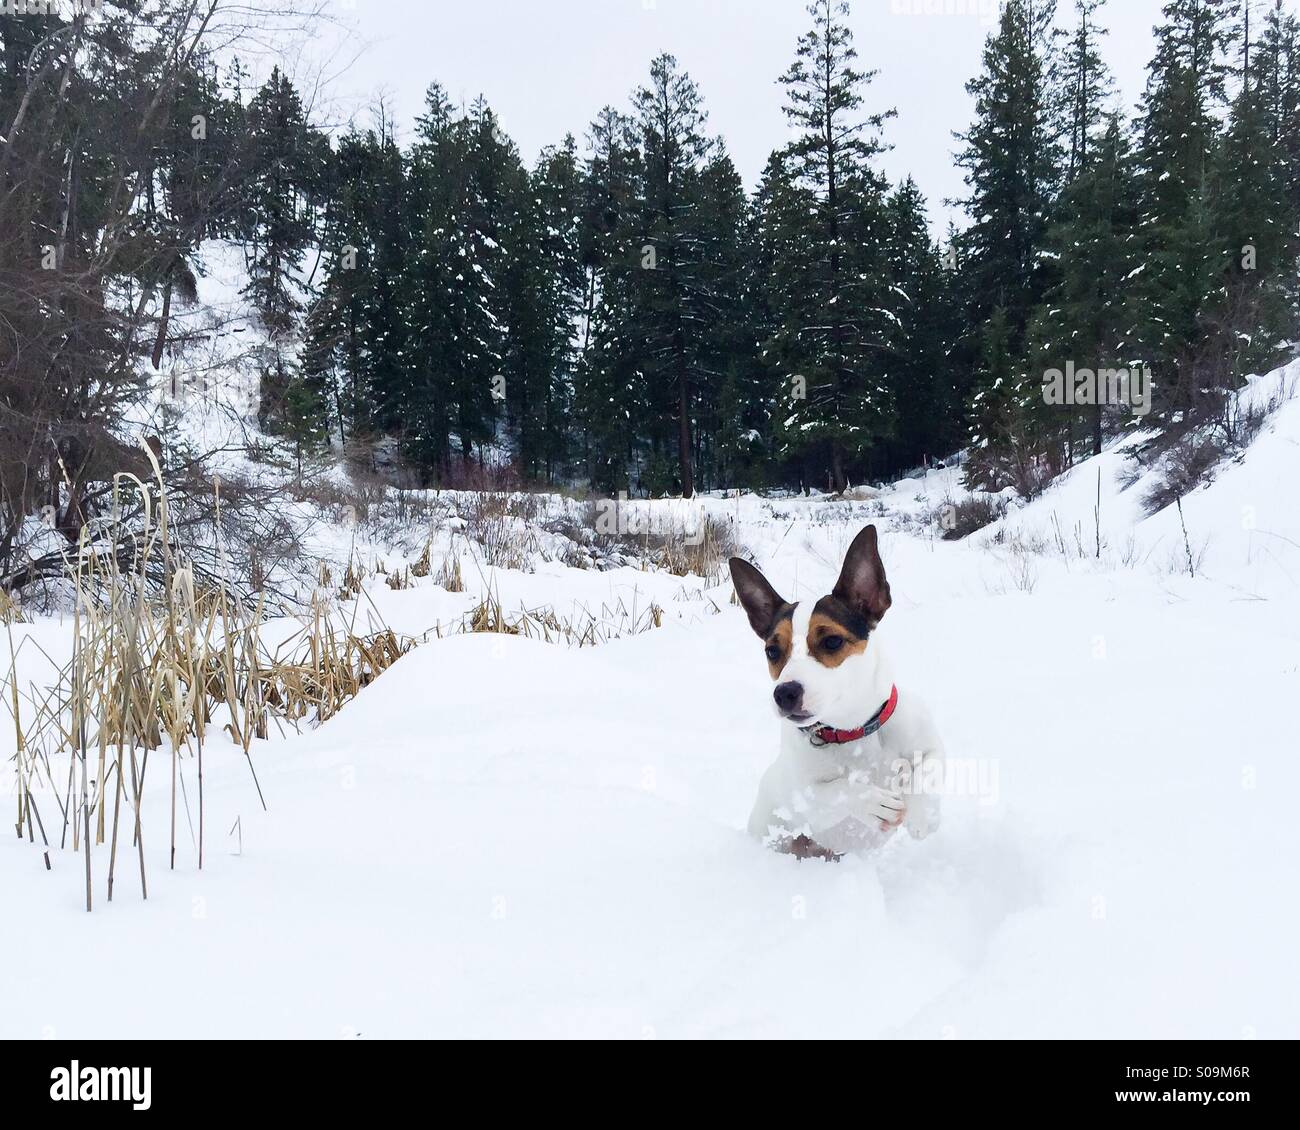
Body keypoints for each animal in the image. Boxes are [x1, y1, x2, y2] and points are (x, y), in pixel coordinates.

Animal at [728, 525, 941, 858]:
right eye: (772, 651)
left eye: (831, 641)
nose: (784, 693)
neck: (853, 730)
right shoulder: (805, 796)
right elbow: (836, 791)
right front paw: (873, 802)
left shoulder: (929, 743)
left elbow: (928, 769)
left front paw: (922, 816)